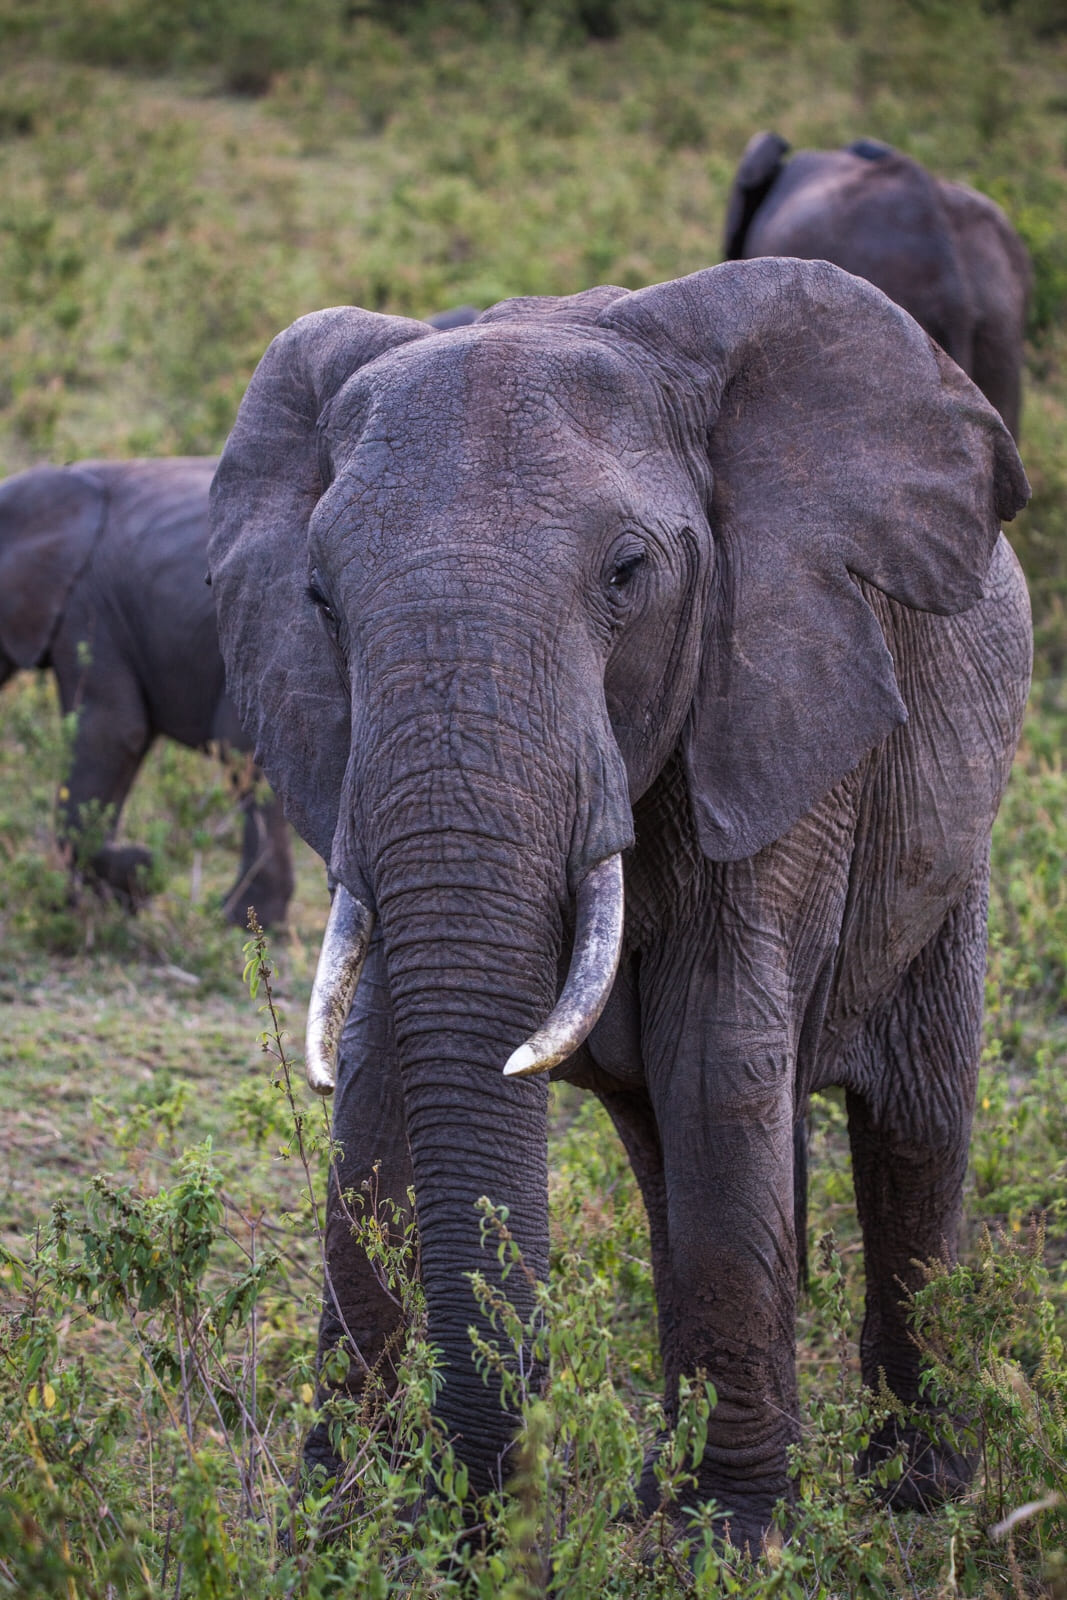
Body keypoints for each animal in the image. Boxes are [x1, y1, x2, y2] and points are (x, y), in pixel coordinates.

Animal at [0, 456, 294, 927]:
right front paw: (98, 904)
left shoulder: (89, 611)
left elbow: (111, 734)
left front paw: (138, 871)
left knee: (241, 752)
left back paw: (240, 918)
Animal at [208, 258, 1031, 1548]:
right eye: (319, 598)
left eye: (627, 576)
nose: (493, 1510)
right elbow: (385, 1062)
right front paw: (345, 1523)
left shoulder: (776, 699)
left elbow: (718, 1061)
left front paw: (724, 1543)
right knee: (662, 1153)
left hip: (954, 841)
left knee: (909, 1128)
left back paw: (916, 1497)